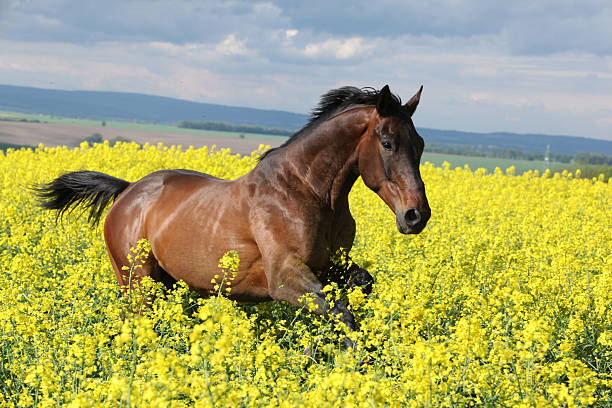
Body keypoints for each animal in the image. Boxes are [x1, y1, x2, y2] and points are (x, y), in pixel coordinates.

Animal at [34, 84, 430, 346]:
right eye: (387, 143)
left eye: (421, 144)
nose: (416, 216)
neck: (309, 192)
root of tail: (129, 191)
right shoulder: (285, 278)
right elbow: (342, 313)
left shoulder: (331, 266)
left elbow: (357, 288)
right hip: (137, 282)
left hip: (166, 282)